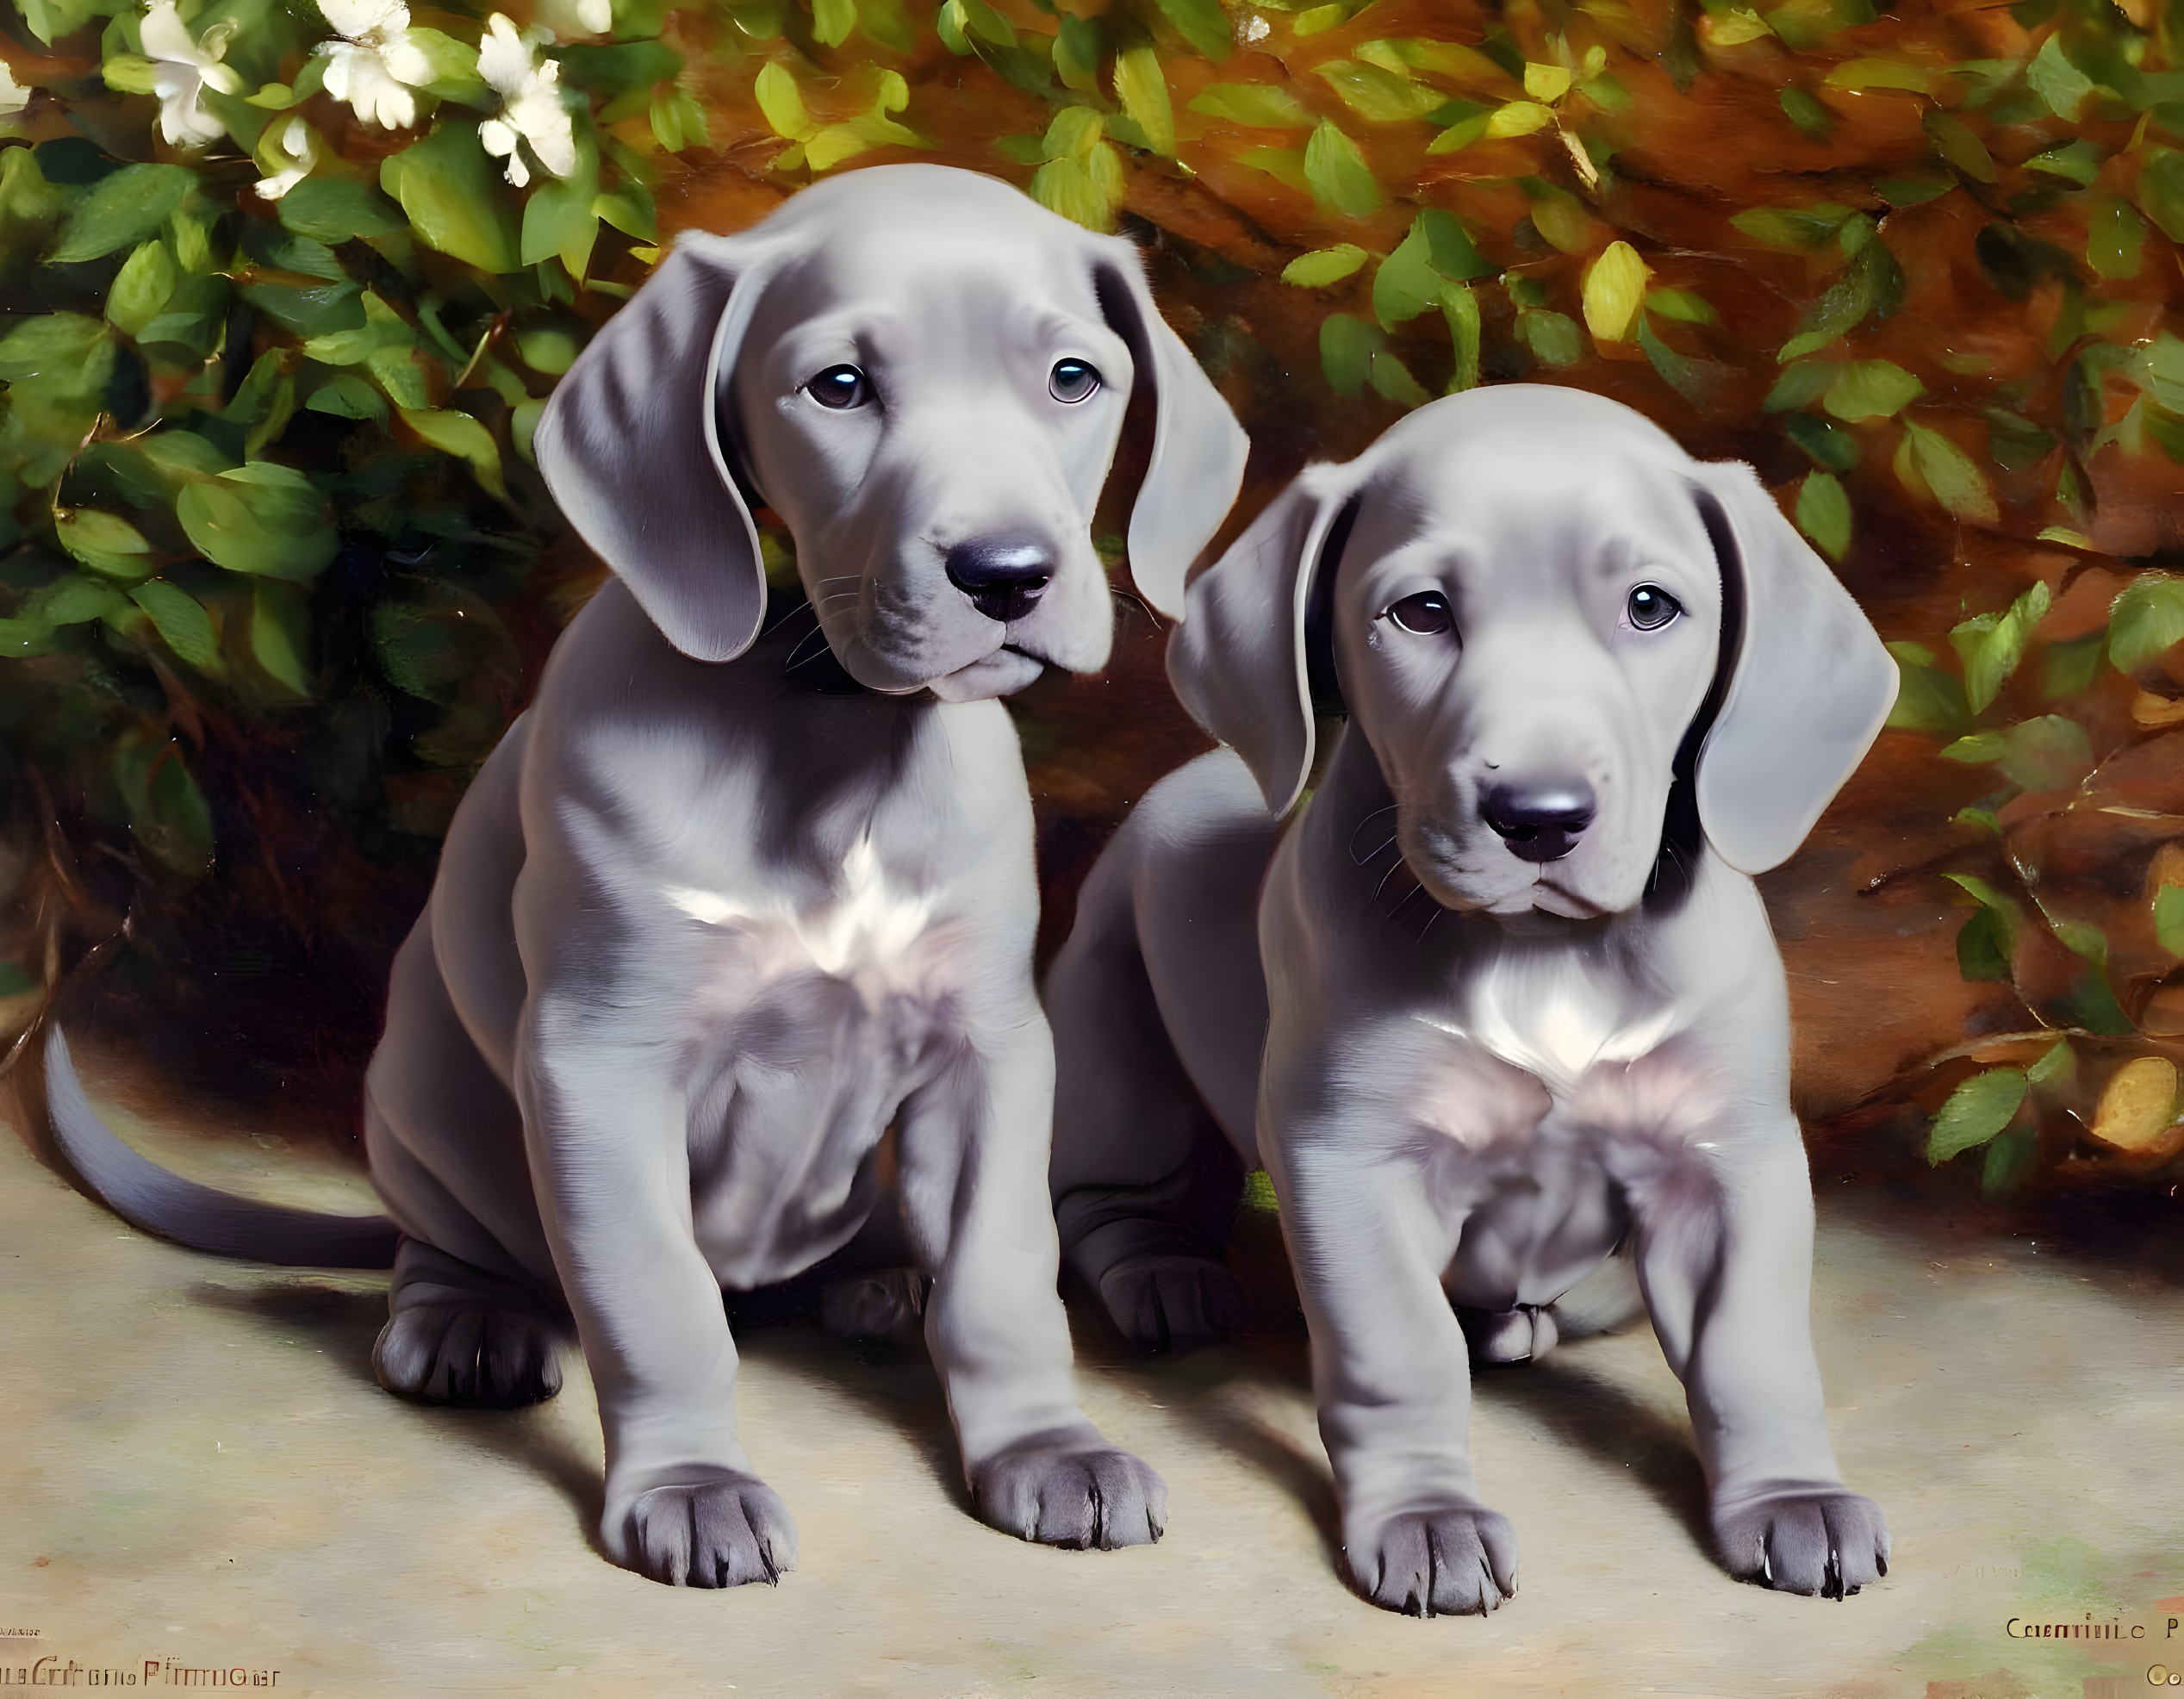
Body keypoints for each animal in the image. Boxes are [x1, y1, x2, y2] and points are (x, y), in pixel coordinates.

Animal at [47, 165, 1249, 1581]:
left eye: (1073, 377)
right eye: (838, 387)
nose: (1005, 575)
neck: (831, 734)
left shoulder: (988, 1049)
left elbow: (1004, 1271)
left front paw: (1045, 1451)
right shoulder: (599, 1062)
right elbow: (654, 1299)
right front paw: (691, 1485)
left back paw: (874, 1278)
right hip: (422, 1105)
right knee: (452, 1243)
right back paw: (465, 1322)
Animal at [1039, 386, 1895, 1615]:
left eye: (1651, 607)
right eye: (1422, 612)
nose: (1540, 817)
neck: (1545, 955)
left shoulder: (1730, 1156)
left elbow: (1753, 1348)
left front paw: (1792, 1496)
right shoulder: (1349, 1158)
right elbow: (1398, 1349)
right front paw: (1427, 1517)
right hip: (1115, 1032)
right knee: (1103, 1196)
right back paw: (1166, 1275)